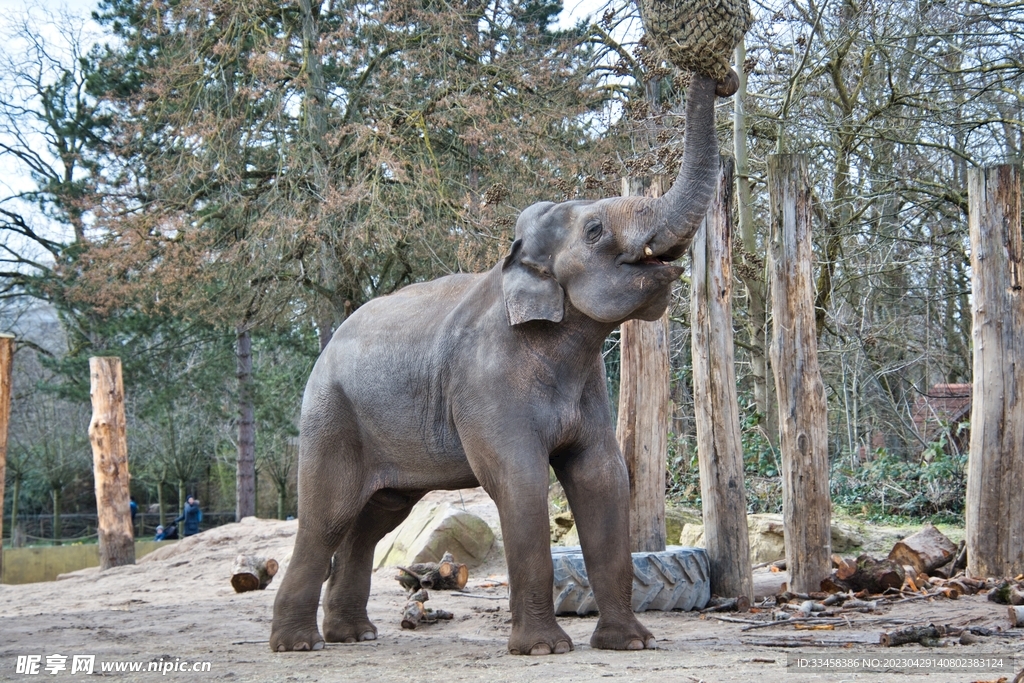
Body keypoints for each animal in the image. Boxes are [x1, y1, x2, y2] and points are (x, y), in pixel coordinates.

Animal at [270, 71, 735, 655]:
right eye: (595, 231)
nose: (723, 79)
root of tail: (327, 346)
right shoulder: (486, 381)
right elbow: (521, 481)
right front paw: (544, 649)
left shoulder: (589, 389)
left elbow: (603, 477)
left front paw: (632, 643)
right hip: (330, 417)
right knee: (326, 517)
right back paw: (299, 644)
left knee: (377, 517)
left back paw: (353, 635)